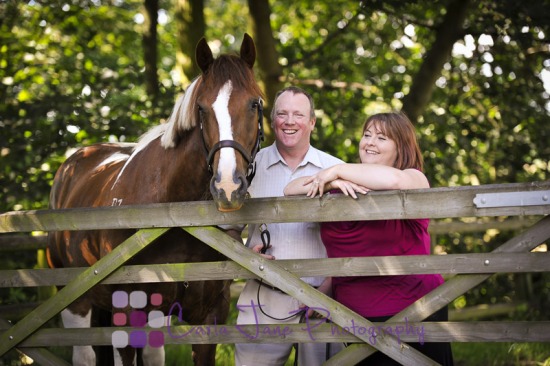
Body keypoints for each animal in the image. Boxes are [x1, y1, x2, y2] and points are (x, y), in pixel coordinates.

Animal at [45, 33, 266, 364]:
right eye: (202, 108)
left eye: (254, 103)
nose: (228, 186)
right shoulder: (127, 310)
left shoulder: (210, 315)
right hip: (76, 303)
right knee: (84, 354)